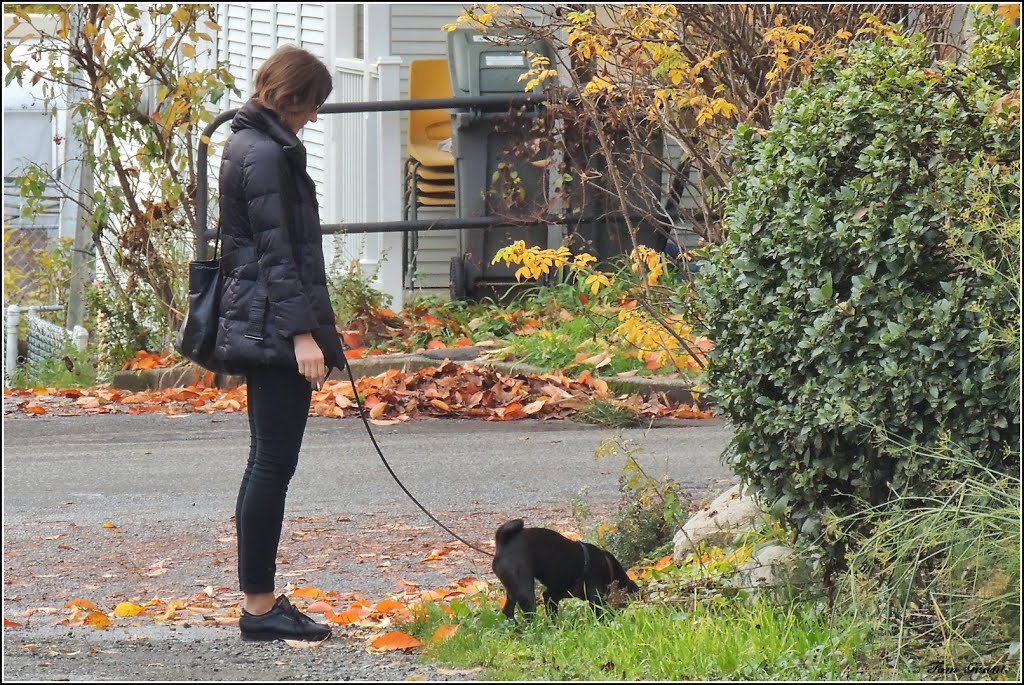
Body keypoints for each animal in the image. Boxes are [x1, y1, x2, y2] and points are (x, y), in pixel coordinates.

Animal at [489, 518, 638, 618]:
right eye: (624, 604)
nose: (618, 616)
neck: (609, 568)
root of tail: (504, 543)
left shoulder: (552, 595)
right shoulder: (594, 597)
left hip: (513, 589)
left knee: (508, 611)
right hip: (525, 592)